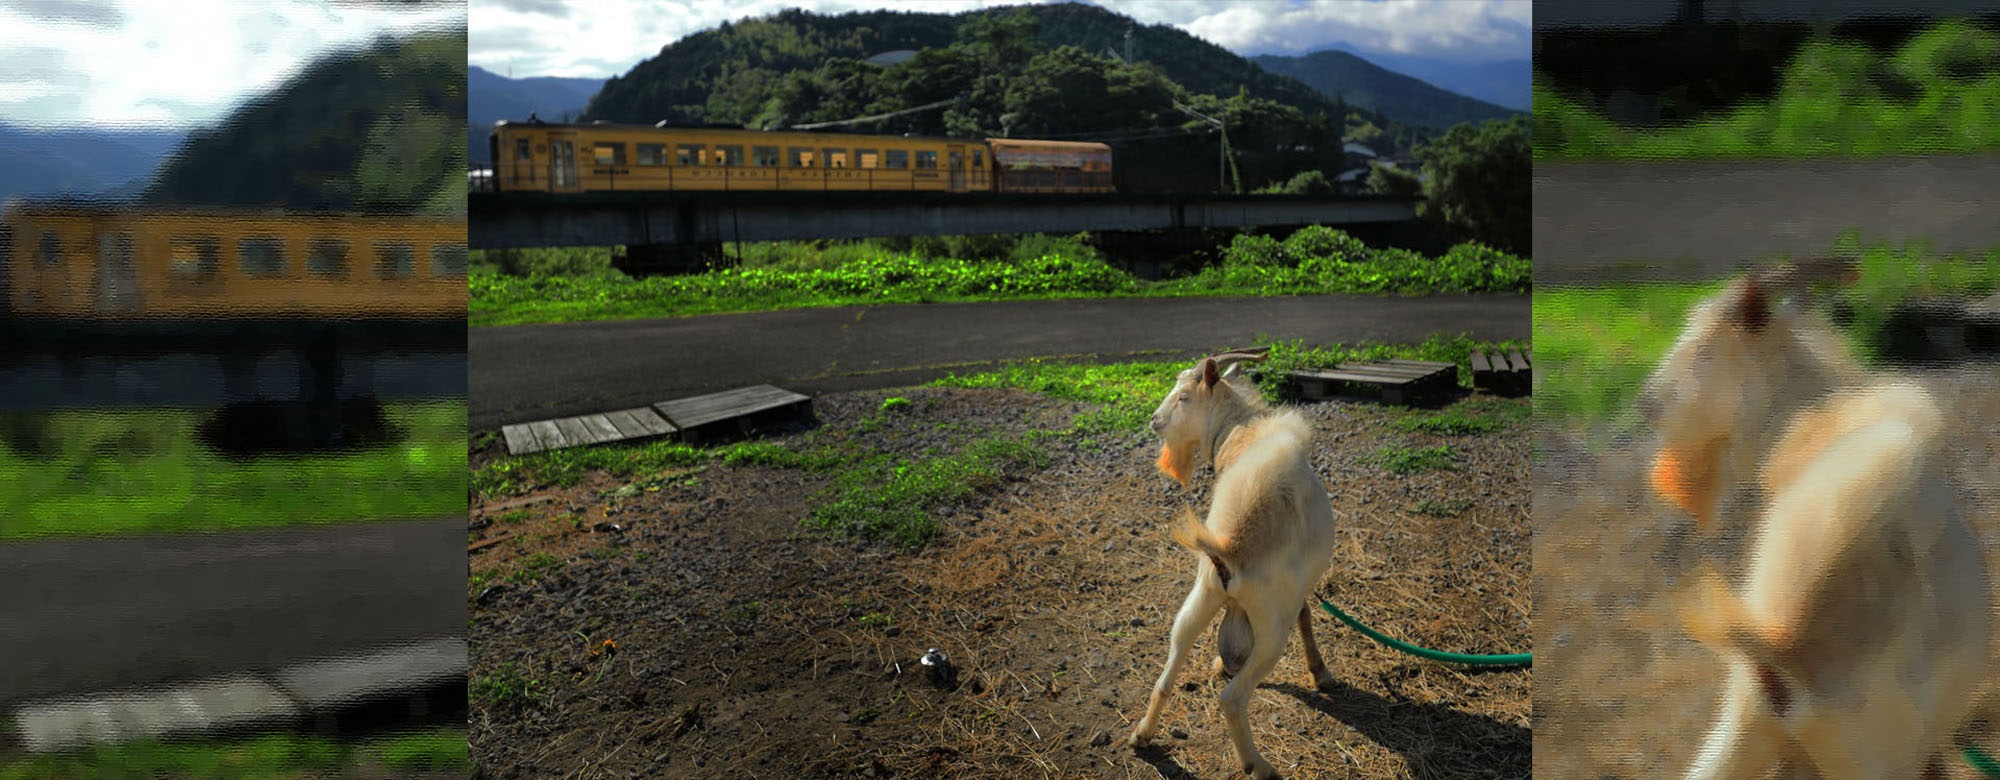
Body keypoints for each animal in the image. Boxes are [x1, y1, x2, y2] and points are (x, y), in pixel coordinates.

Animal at [1128, 354, 1344, 780]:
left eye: (1184, 396)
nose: (1154, 420)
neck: (1243, 434)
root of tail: (1231, 545)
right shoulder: (1298, 590)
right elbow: (1307, 616)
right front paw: (1320, 673)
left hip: (1201, 595)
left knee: (1168, 670)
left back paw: (1142, 735)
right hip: (1272, 628)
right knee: (1232, 698)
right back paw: (1259, 765)